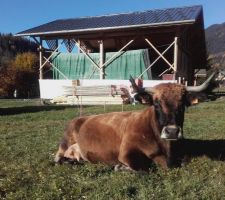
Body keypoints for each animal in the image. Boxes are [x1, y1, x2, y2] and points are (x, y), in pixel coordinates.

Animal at [54, 72, 216, 171]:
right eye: (156, 103)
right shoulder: (126, 153)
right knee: (57, 159)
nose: (172, 131)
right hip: (64, 145)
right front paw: (121, 167)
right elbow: (145, 168)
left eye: (182, 105)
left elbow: (184, 161)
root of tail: (80, 118)